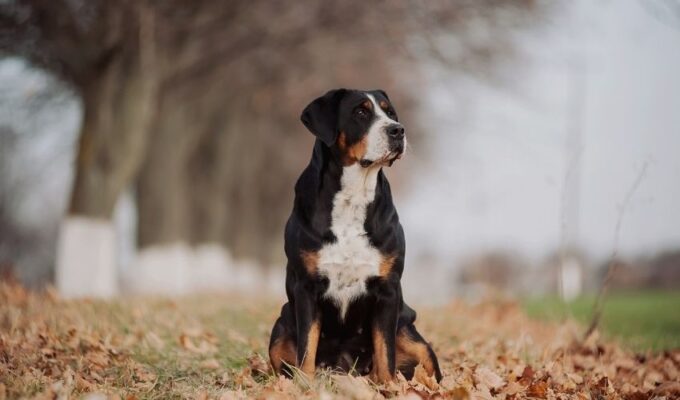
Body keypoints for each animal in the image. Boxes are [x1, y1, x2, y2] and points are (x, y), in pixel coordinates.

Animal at [268, 89, 444, 382]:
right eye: (360, 112)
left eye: (390, 112)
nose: (398, 130)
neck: (354, 196)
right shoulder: (306, 286)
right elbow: (307, 346)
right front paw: (305, 385)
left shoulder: (388, 289)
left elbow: (385, 352)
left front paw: (389, 386)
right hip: (281, 326)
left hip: (412, 334)